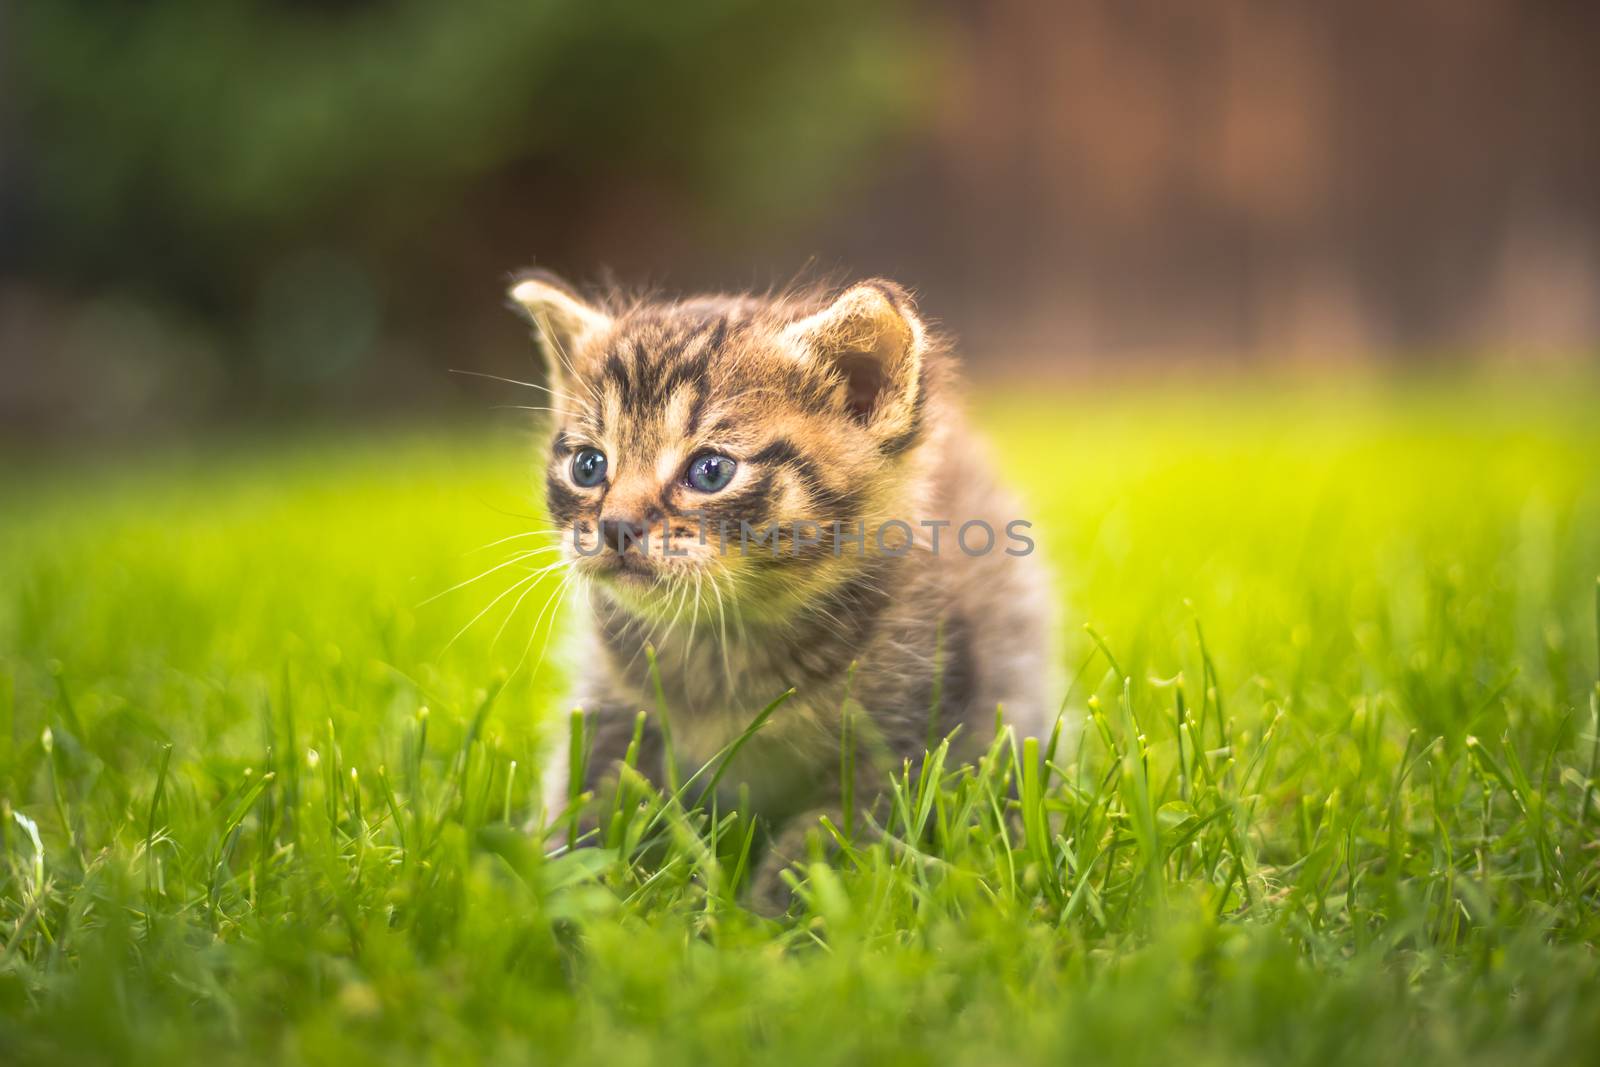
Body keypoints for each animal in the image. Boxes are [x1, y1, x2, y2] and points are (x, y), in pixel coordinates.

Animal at [512, 271, 1056, 895]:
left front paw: (765, 915)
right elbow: (588, 795)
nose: (616, 526)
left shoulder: (905, 738)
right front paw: (548, 886)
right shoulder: (610, 700)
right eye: (588, 466)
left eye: (710, 471)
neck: (726, 645)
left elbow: (825, 848)